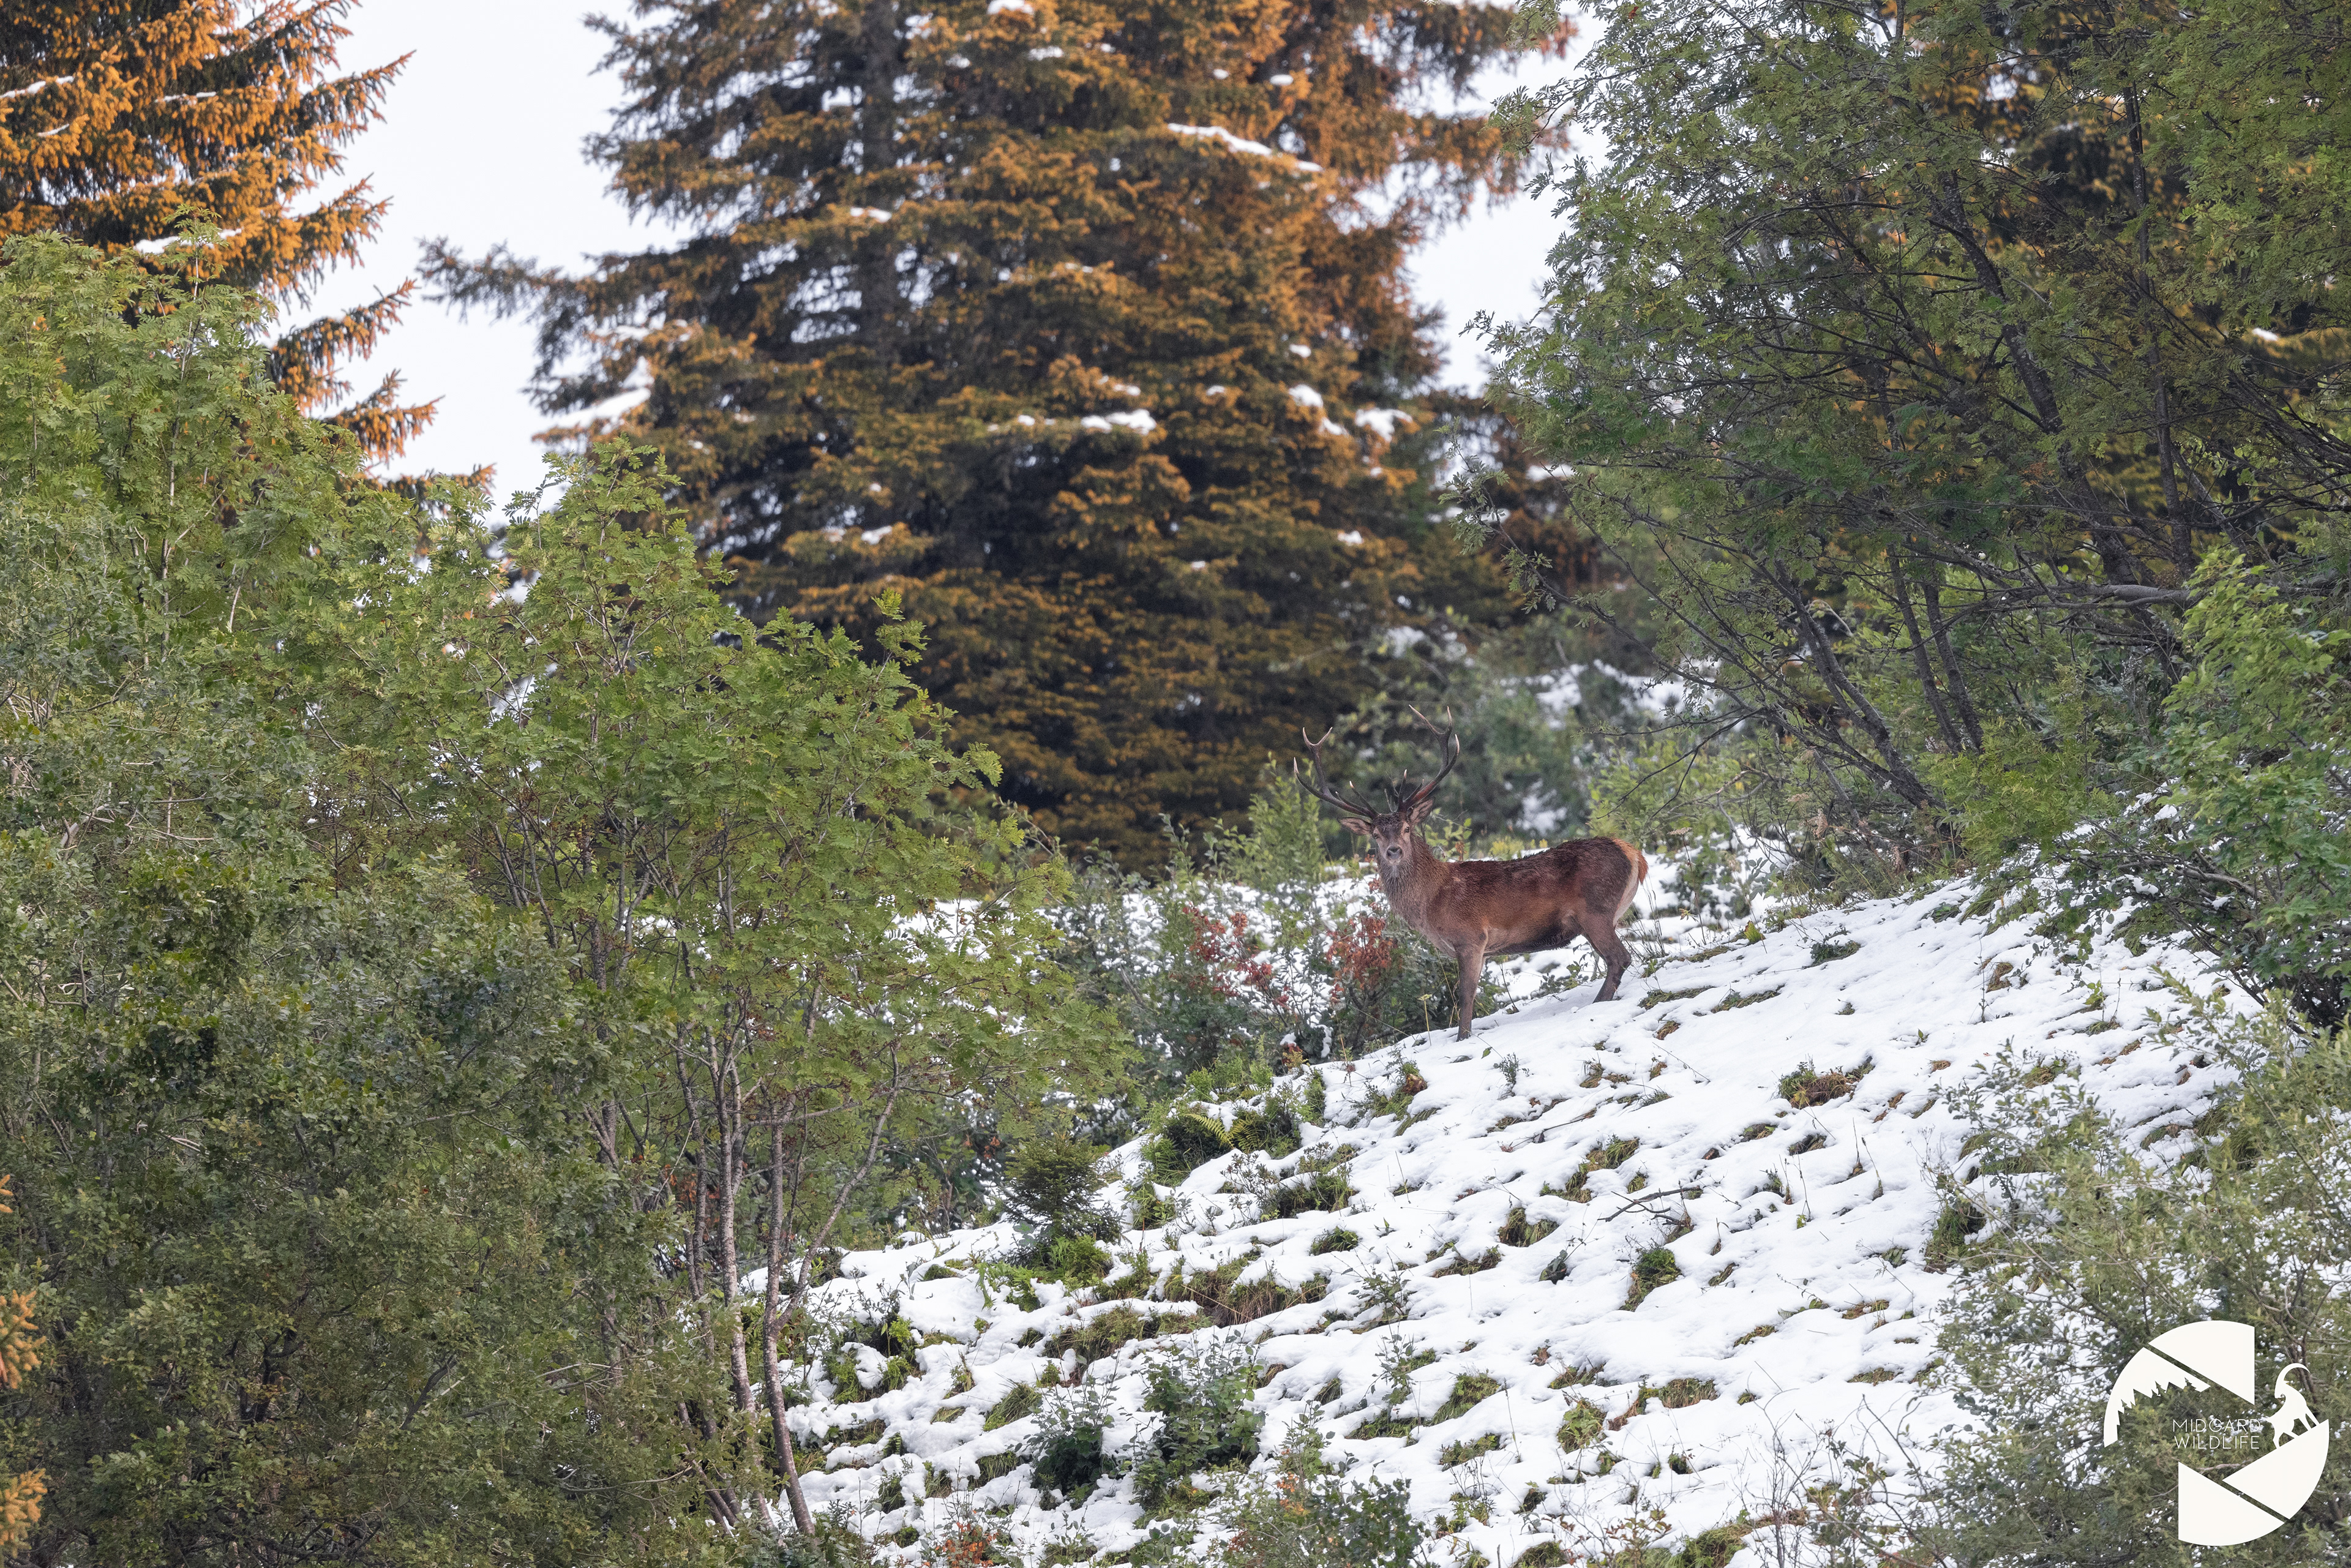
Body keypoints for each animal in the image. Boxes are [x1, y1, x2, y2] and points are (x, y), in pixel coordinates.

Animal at [1296, 713, 1648, 1041]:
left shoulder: (1472, 938)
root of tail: (1634, 854)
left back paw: (1597, 1005)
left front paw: (1462, 1039)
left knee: (1620, 958)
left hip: (1596, 909)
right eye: (1375, 835)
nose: (1393, 850)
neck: (1432, 902)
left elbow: (1465, 997)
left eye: (1407, 828)